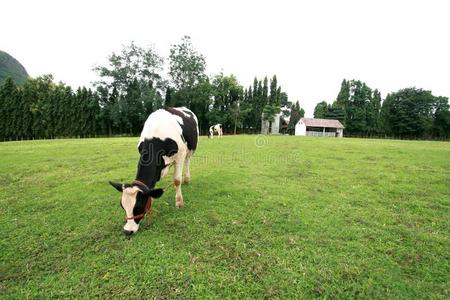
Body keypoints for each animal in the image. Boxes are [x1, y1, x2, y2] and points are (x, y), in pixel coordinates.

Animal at [108, 106, 198, 236]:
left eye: (139, 207)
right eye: (122, 206)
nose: (127, 230)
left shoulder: (180, 155)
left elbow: (177, 180)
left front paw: (179, 202)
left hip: (190, 150)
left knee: (187, 162)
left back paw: (186, 178)